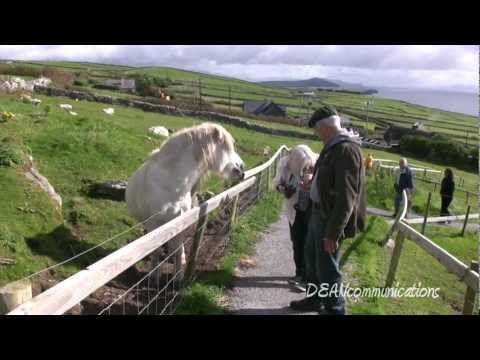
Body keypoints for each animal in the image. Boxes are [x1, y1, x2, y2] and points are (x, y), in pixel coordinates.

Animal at [124, 122, 244, 278]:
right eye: (226, 147)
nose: (242, 168)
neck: (171, 183)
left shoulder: (180, 221)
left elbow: (177, 250)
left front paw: (178, 276)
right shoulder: (153, 224)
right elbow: (155, 251)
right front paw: (154, 275)